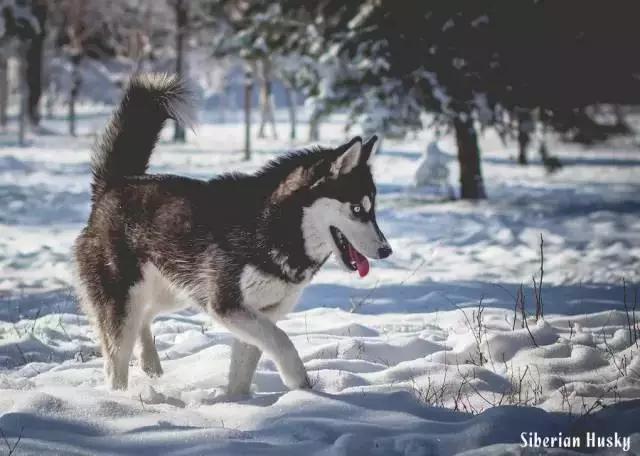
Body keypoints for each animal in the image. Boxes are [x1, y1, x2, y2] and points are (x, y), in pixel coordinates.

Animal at [76, 73, 396, 394]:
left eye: (373, 209)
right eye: (357, 208)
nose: (386, 251)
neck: (274, 227)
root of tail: (116, 183)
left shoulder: (260, 312)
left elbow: (245, 367)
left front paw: (240, 402)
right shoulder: (227, 305)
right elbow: (282, 340)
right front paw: (300, 384)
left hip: (176, 290)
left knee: (145, 315)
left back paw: (150, 362)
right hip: (127, 298)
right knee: (117, 357)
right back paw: (120, 395)